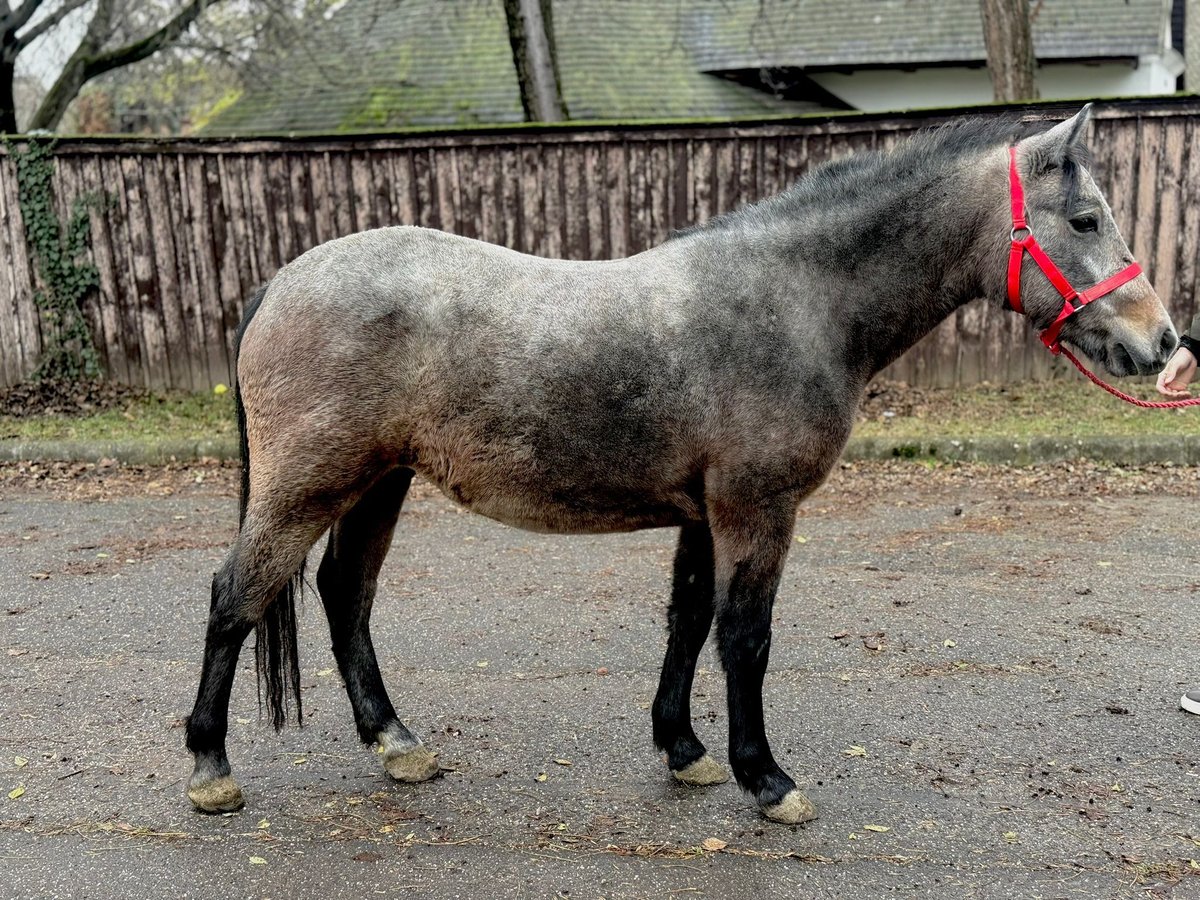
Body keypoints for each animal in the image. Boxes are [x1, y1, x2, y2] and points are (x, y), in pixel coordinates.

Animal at [184, 105, 1176, 824]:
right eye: (1084, 218)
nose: (1161, 341)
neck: (796, 298)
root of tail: (280, 282)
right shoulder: (755, 509)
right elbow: (745, 638)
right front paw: (766, 781)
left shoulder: (704, 513)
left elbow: (688, 624)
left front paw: (686, 752)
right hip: (307, 484)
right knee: (238, 594)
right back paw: (209, 765)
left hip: (378, 482)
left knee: (344, 594)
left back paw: (395, 743)